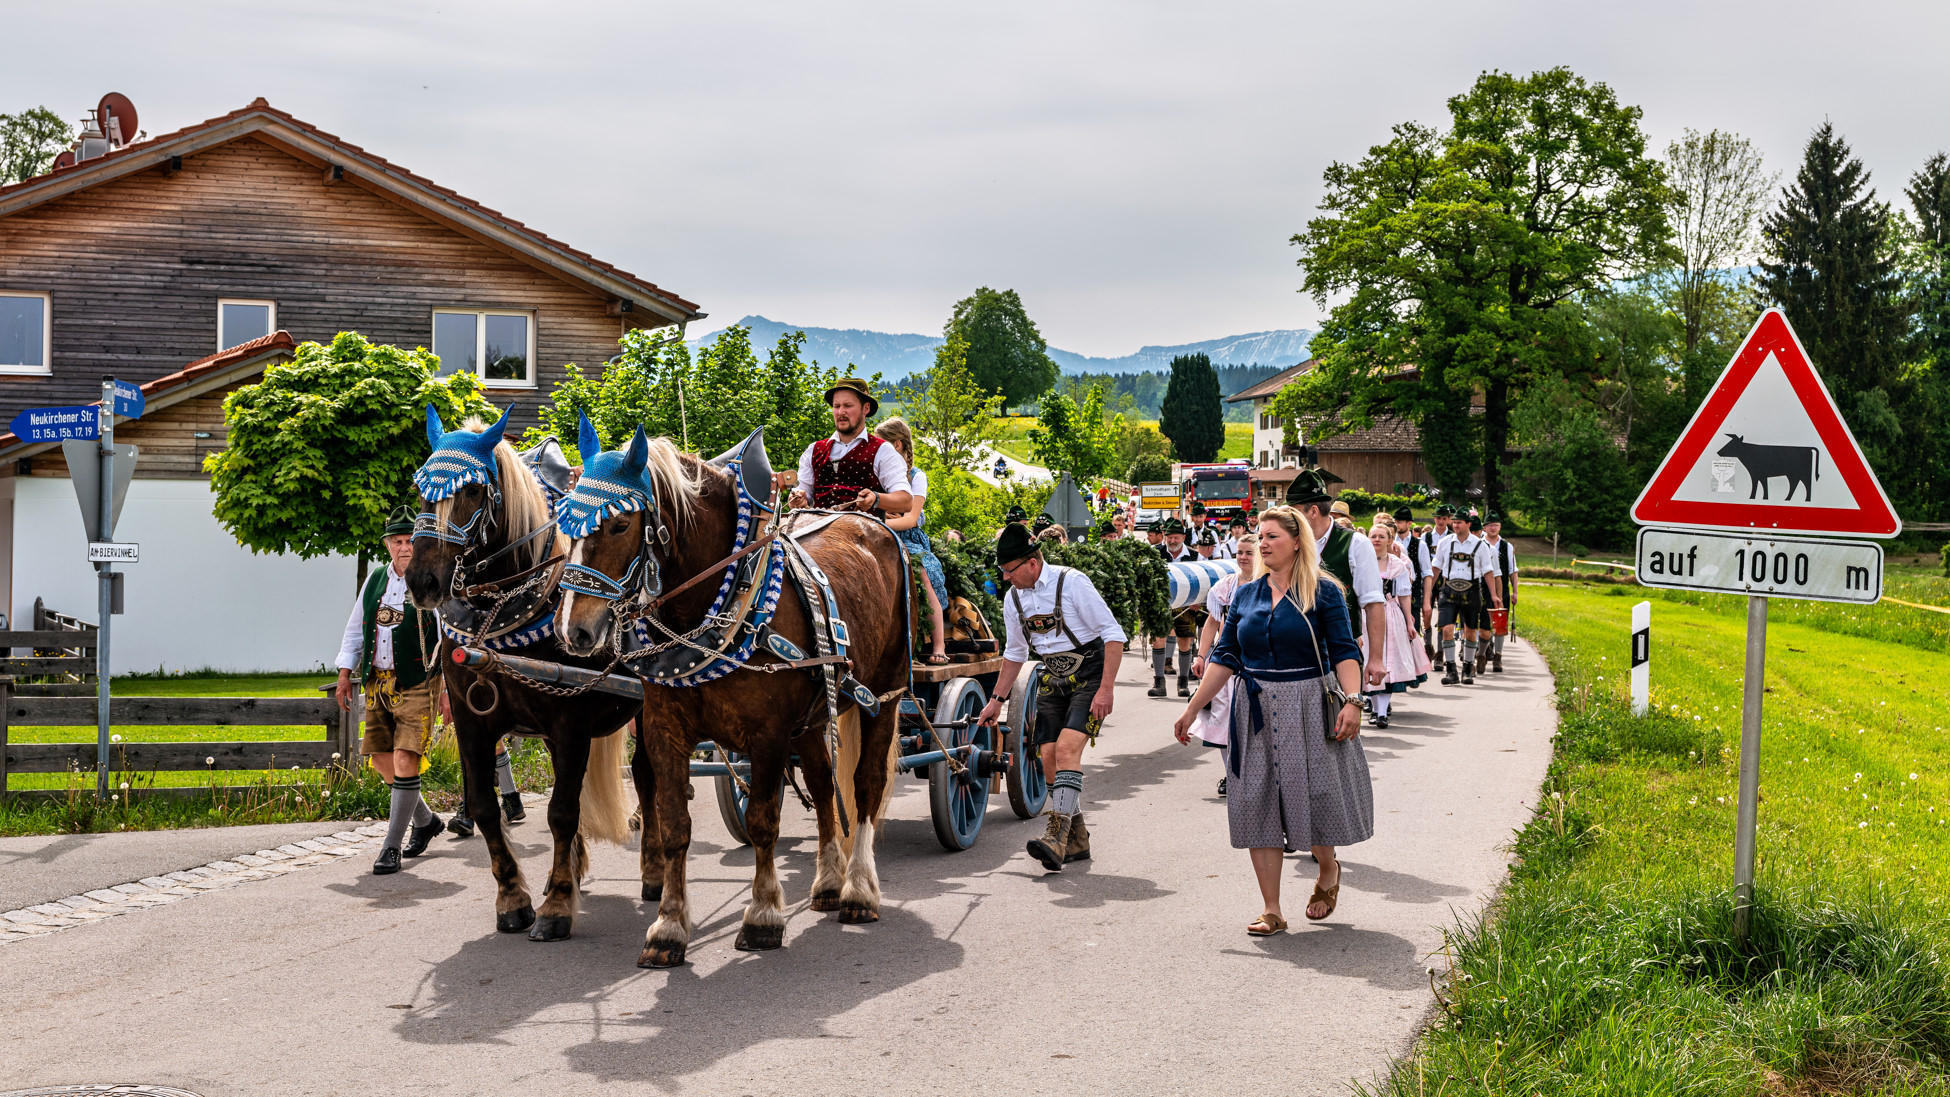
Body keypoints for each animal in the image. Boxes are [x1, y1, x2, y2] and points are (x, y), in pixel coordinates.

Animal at [403, 406, 644, 942]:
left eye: (473, 490)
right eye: (419, 487)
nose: (423, 581)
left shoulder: (571, 723)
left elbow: (562, 810)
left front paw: (555, 906)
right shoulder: (472, 721)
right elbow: (486, 808)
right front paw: (514, 898)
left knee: (650, 776)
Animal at [553, 416, 912, 967]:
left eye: (618, 525)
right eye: (563, 522)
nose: (574, 630)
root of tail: (869, 523)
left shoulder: (767, 734)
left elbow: (764, 821)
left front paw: (762, 916)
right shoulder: (664, 730)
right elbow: (675, 826)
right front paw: (668, 927)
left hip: (883, 695)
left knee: (866, 784)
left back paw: (857, 891)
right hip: (813, 717)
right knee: (824, 786)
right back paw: (829, 882)